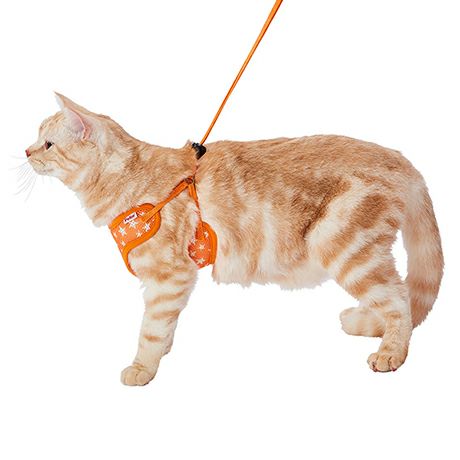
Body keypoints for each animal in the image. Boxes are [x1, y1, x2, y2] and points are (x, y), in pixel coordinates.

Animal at [26, 93, 443, 385]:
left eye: (48, 144)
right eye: (37, 139)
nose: (26, 151)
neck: (126, 181)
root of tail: (401, 159)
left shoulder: (168, 275)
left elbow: (151, 328)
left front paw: (143, 366)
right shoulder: (174, 282)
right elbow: (166, 324)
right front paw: (163, 351)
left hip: (345, 247)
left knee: (400, 300)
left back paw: (390, 352)